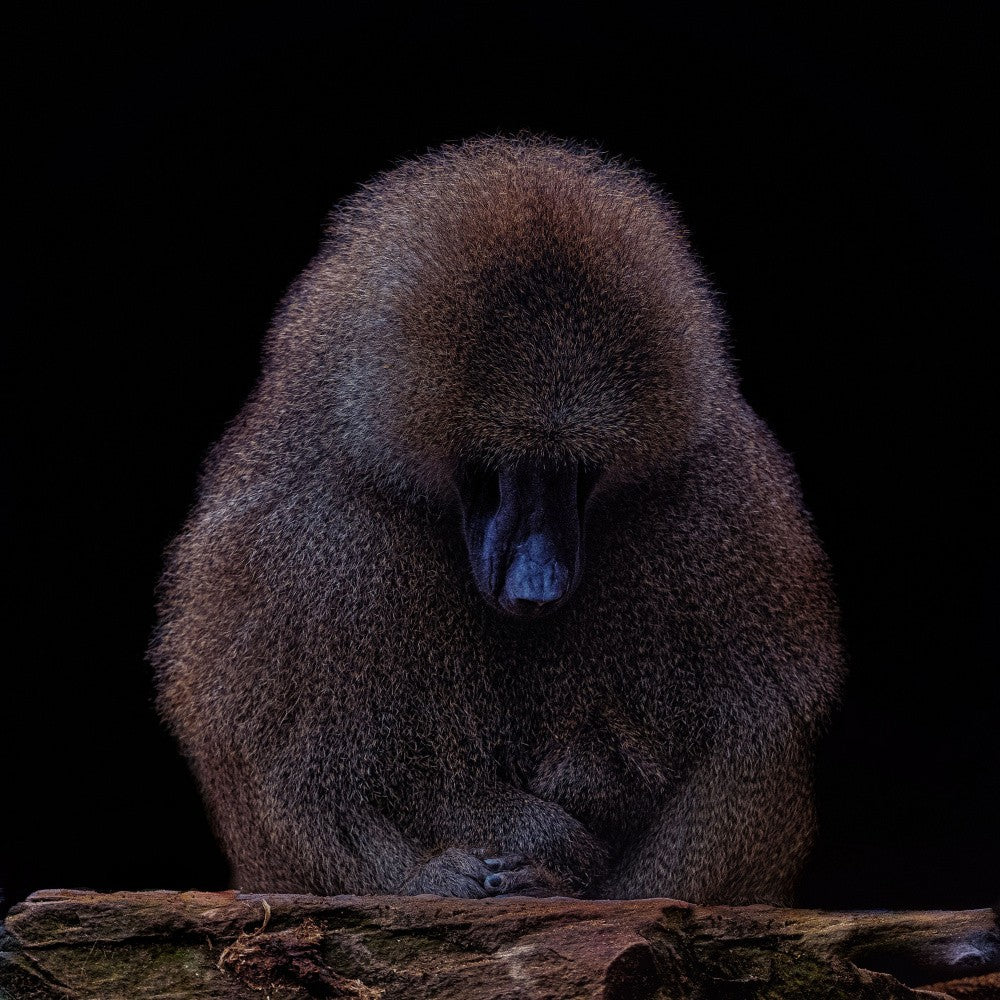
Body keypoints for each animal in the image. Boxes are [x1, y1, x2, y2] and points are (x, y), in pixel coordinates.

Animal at [151, 135, 845, 905]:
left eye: (577, 471)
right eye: (495, 469)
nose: (535, 587)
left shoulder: (719, 505)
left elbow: (753, 743)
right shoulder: (308, 536)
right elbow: (288, 775)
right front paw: (455, 869)